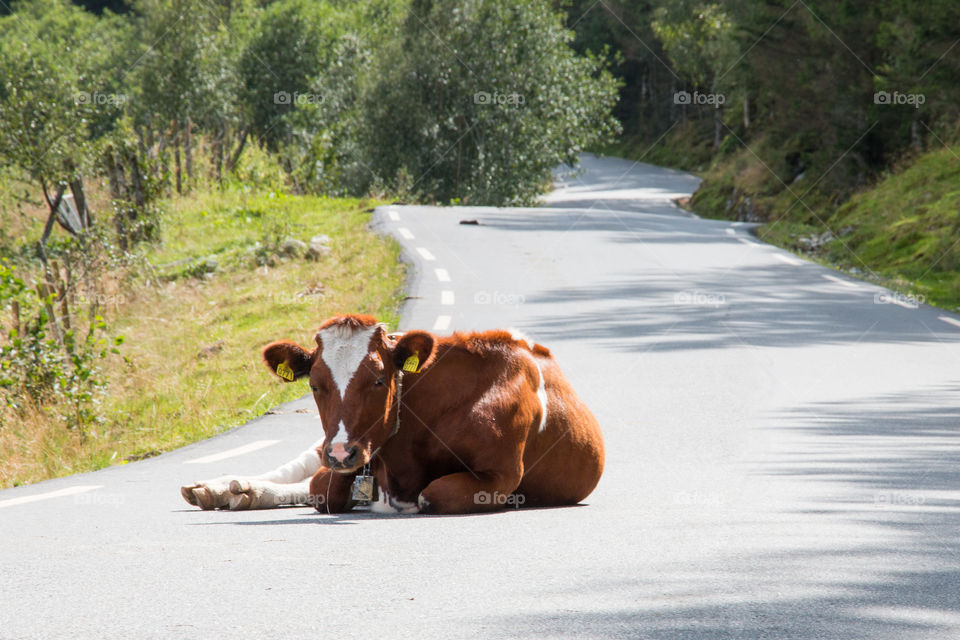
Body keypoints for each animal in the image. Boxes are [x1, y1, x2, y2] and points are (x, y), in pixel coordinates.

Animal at [181, 316, 604, 516]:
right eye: (314, 385)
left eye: (379, 380)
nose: (342, 453)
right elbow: (322, 488)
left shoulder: (501, 475)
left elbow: (432, 495)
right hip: (320, 445)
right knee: (296, 474)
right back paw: (221, 488)